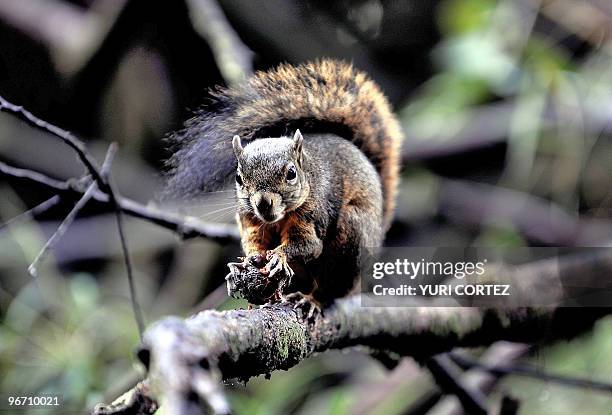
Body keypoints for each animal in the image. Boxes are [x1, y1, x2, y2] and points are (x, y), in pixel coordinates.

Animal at [166, 58, 402, 312]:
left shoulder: (312, 215)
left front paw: (279, 256)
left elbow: (308, 245)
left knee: (333, 289)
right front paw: (247, 261)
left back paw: (311, 300)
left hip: (351, 238)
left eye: (291, 173)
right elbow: (253, 241)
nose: (263, 204)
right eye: (239, 178)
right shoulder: (250, 220)